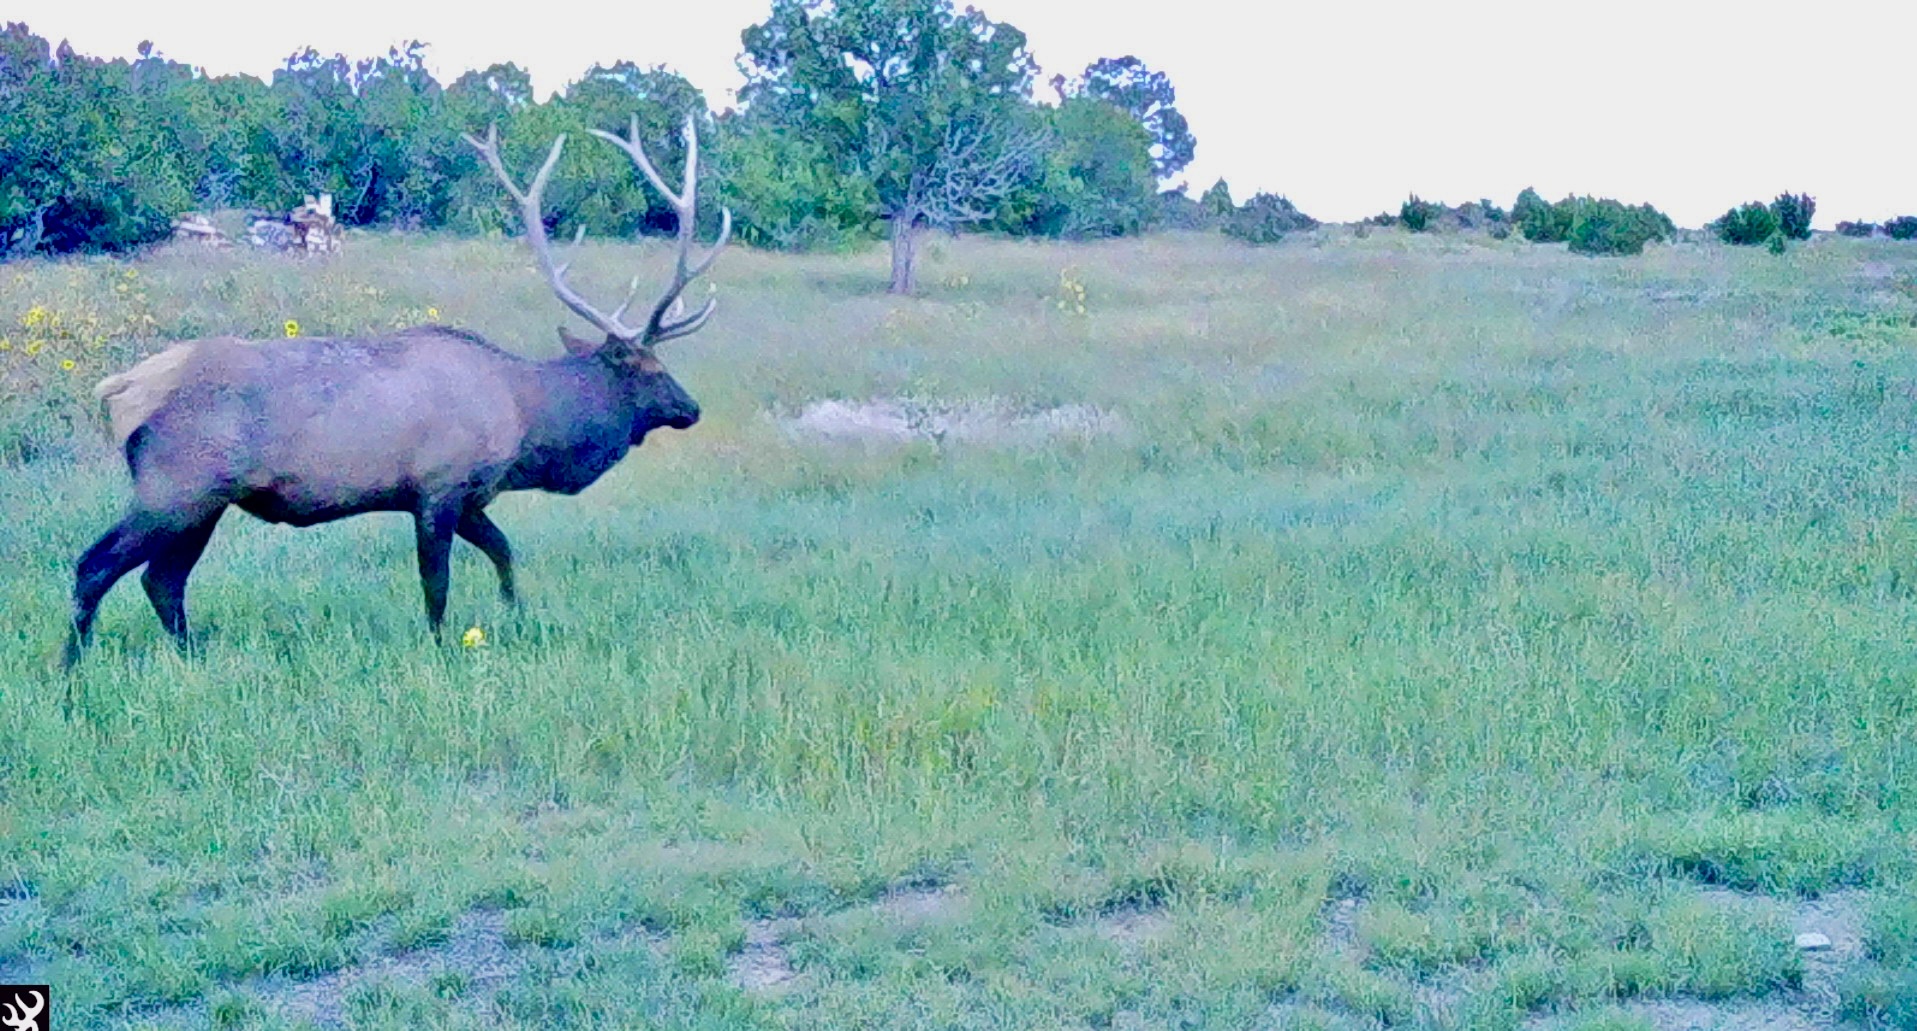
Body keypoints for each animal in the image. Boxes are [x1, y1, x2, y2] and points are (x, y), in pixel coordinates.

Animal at [62, 115, 730, 671]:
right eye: (650, 368)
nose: (693, 409)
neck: (524, 420)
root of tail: (117, 391)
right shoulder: (438, 488)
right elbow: (436, 584)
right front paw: (441, 646)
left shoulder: (470, 497)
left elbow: (505, 553)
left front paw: (516, 615)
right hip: (176, 486)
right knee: (96, 566)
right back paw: (72, 666)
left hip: (205, 500)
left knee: (162, 580)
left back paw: (191, 655)